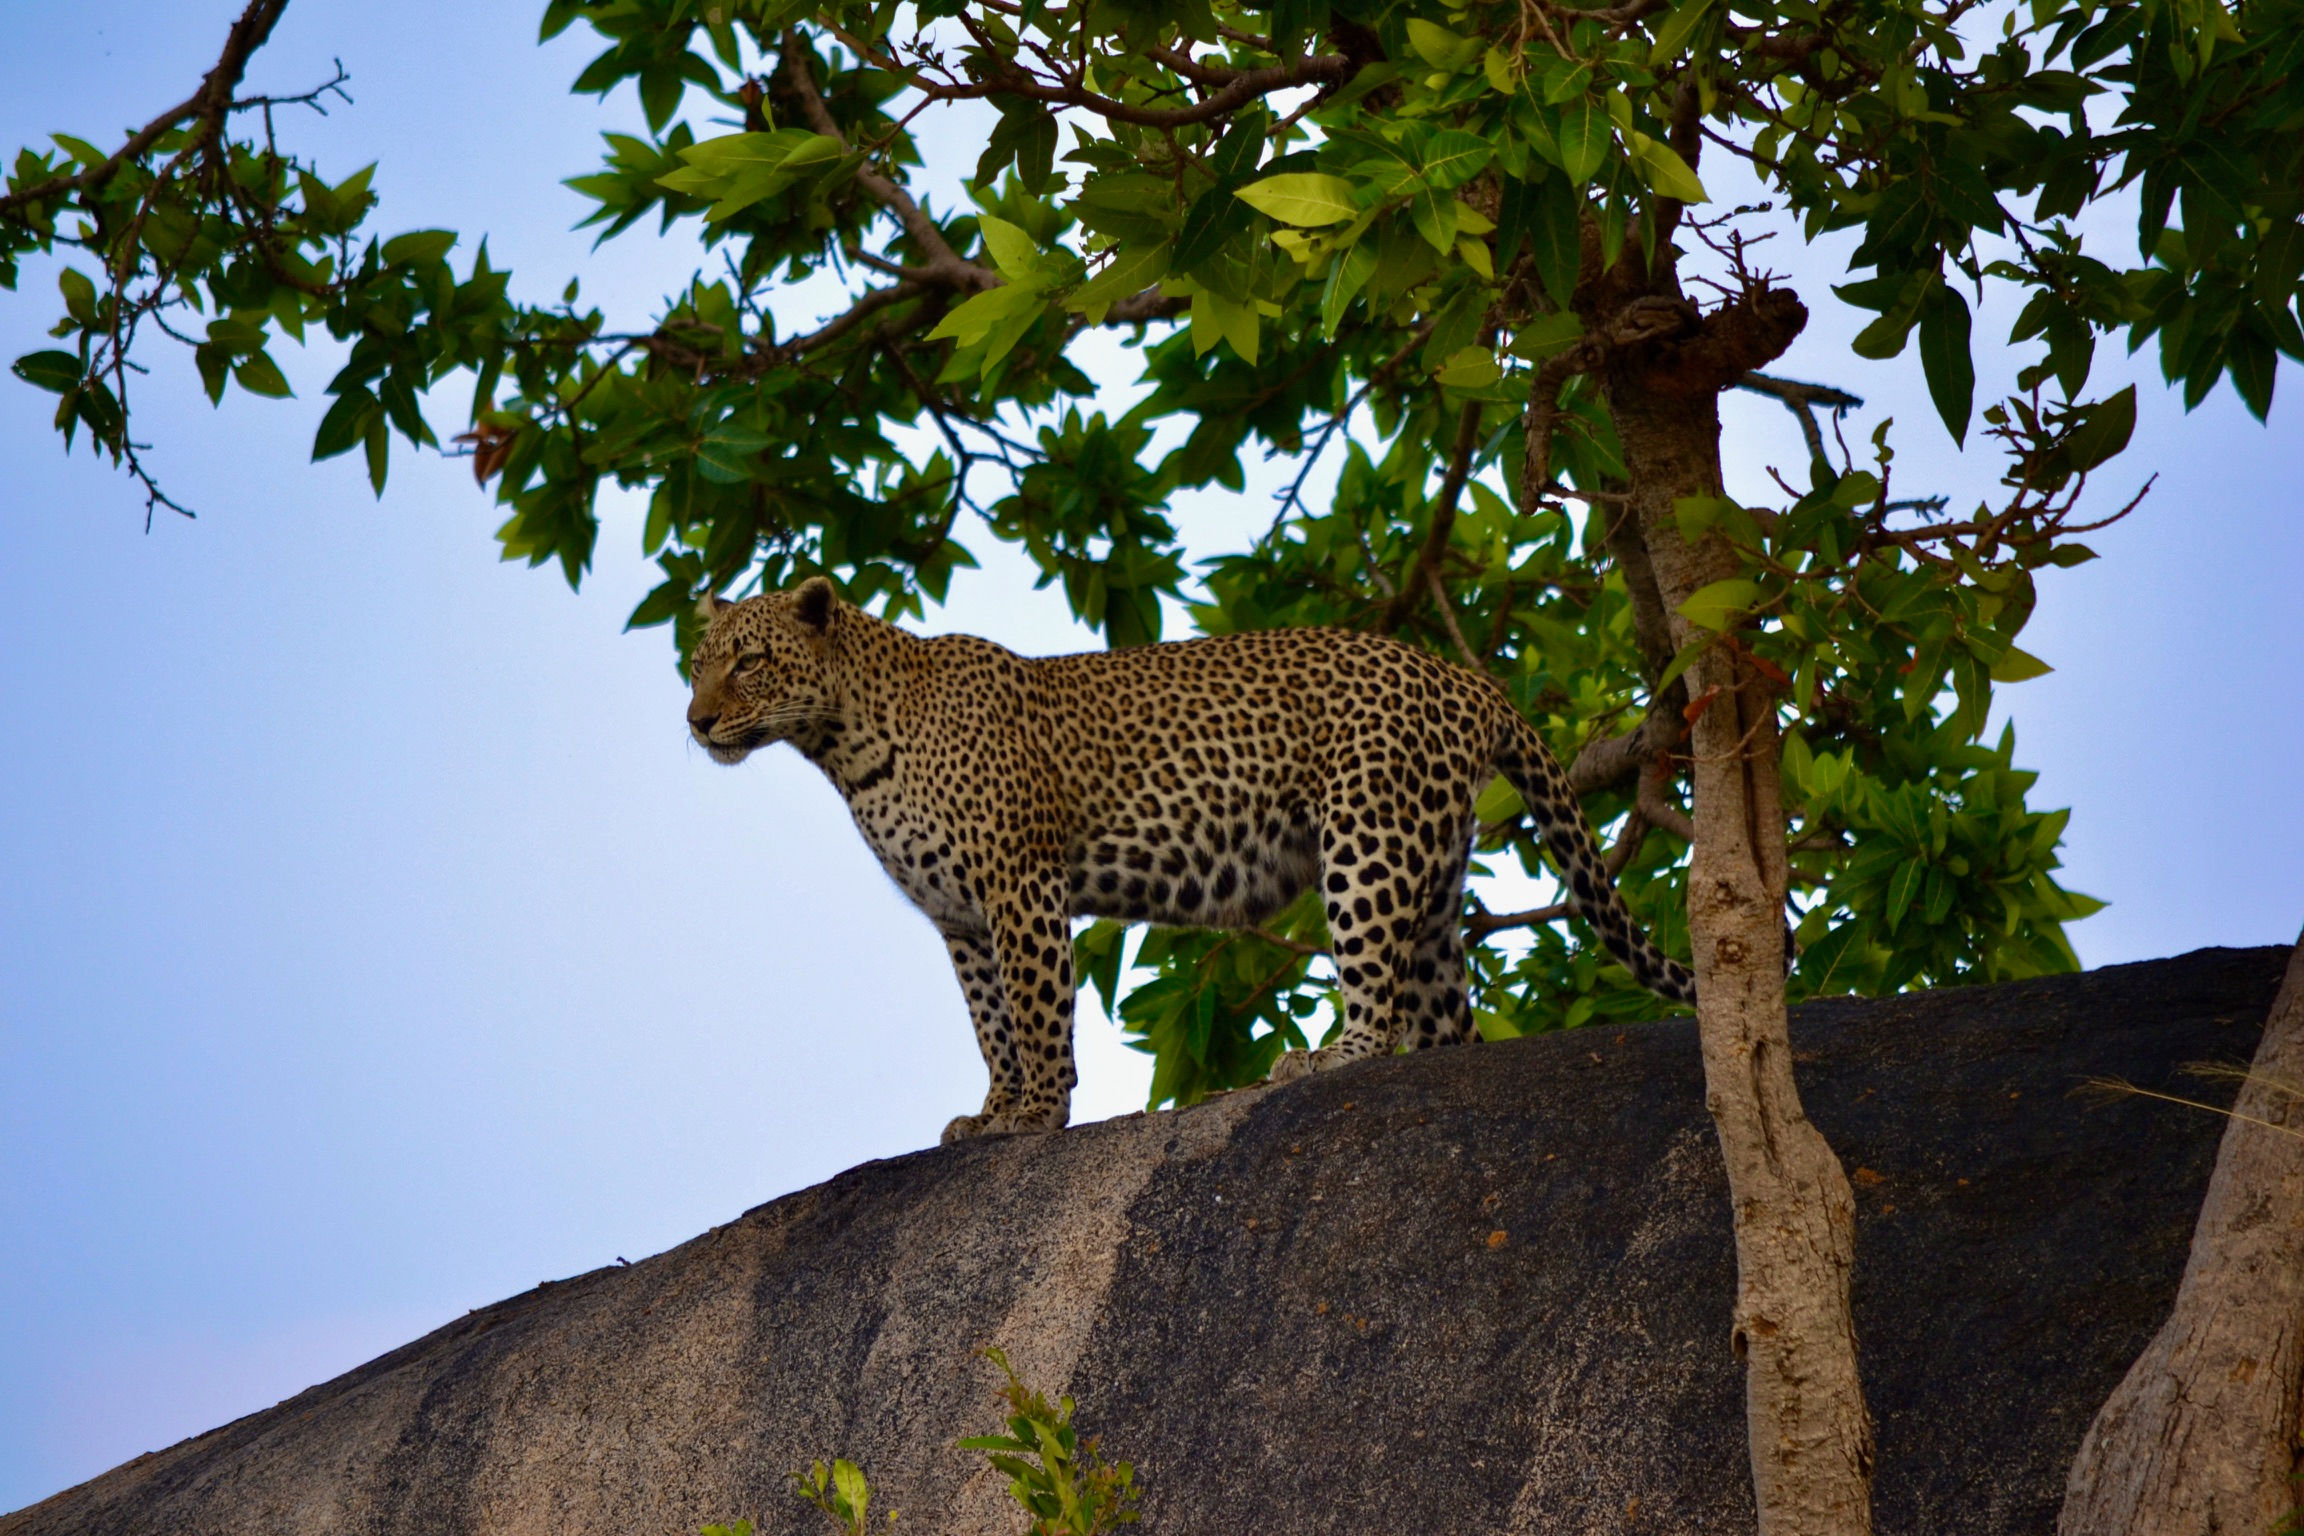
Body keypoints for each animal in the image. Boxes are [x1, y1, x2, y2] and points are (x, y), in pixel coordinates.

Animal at [686, 576, 1695, 1143]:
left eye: (749, 662)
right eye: (695, 664)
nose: (695, 721)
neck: (844, 745)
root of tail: (1467, 678)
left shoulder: (1020, 883)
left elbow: (1038, 1012)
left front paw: (1038, 1116)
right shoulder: (959, 916)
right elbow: (991, 1023)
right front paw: (992, 1111)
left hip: (1366, 839)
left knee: (1374, 987)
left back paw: (1327, 1058)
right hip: (1431, 866)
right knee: (1446, 1018)